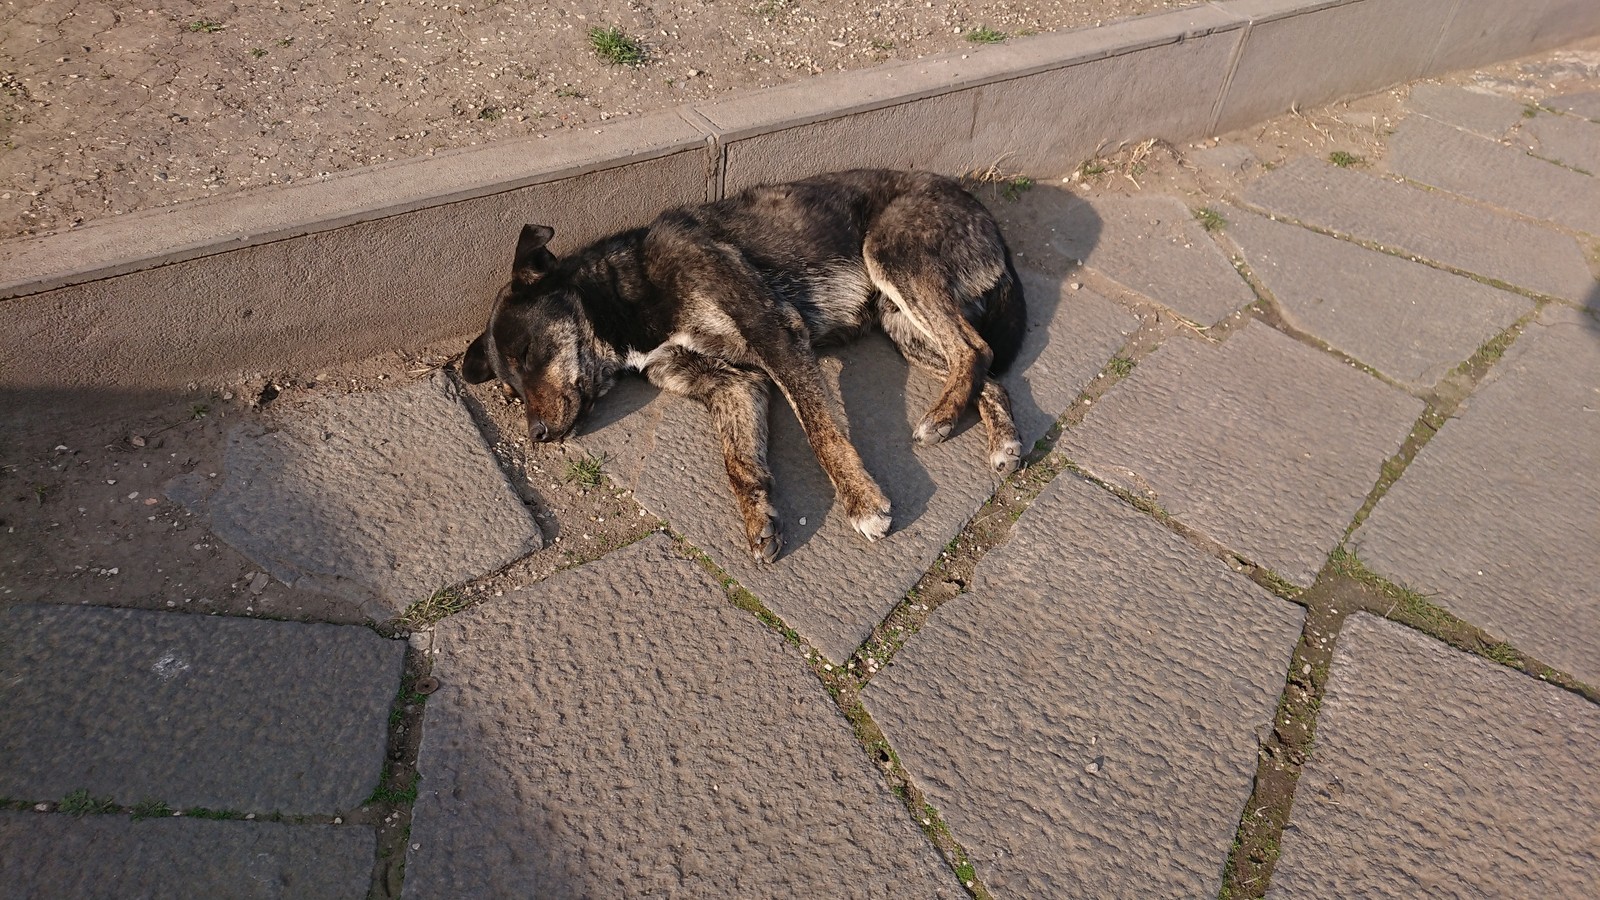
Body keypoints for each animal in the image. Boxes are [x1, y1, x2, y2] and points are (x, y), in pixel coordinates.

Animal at [467, 168, 1024, 560]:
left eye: (527, 354)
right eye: (510, 389)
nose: (536, 435)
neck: (627, 292)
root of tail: (982, 210)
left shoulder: (776, 335)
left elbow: (821, 433)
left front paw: (862, 501)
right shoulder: (732, 383)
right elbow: (738, 461)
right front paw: (759, 518)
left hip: (893, 257)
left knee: (975, 349)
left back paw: (945, 416)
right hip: (902, 325)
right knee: (986, 368)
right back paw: (1000, 440)